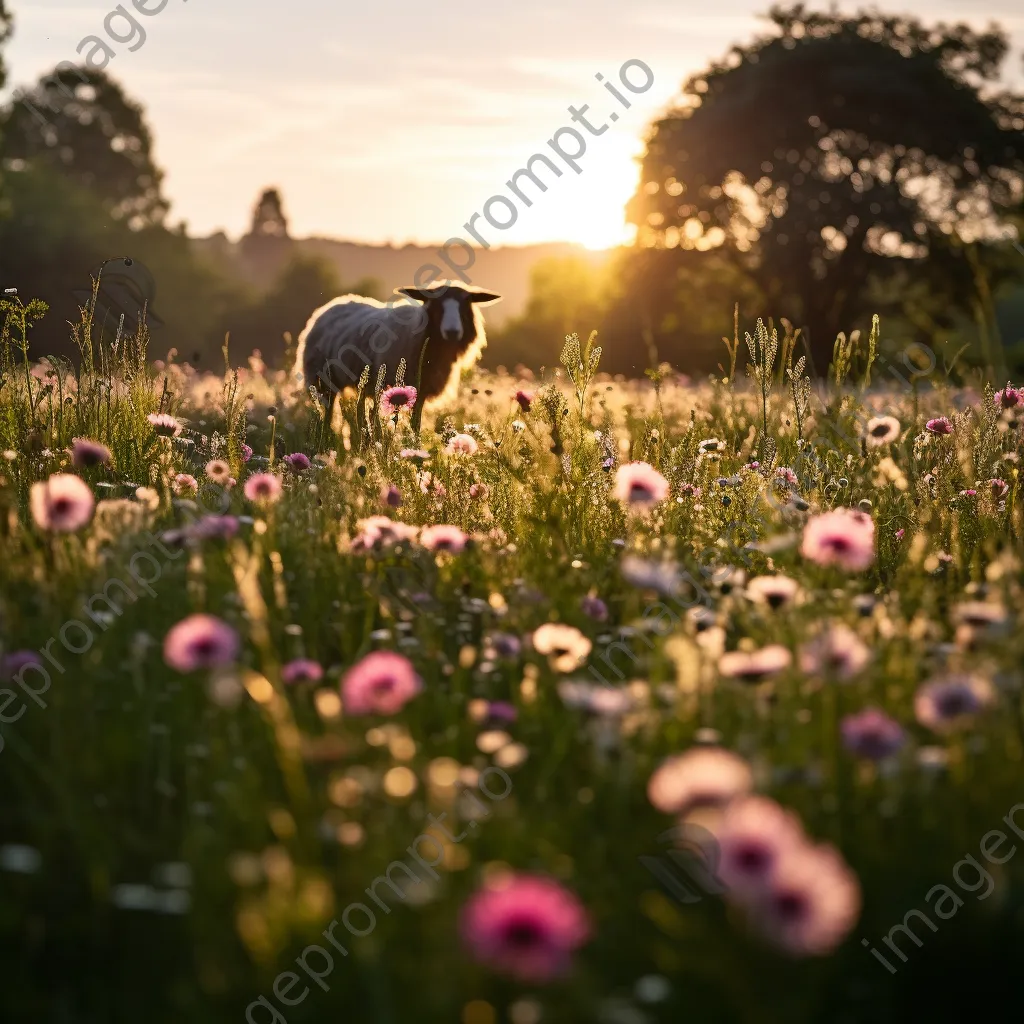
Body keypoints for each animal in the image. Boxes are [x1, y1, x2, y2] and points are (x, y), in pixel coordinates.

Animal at [294, 284, 501, 436]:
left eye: (465, 304)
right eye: (437, 305)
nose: (452, 331)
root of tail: (334, 304)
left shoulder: (421, 390)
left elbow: (416, 422)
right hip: (324, 380)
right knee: (329, 411)